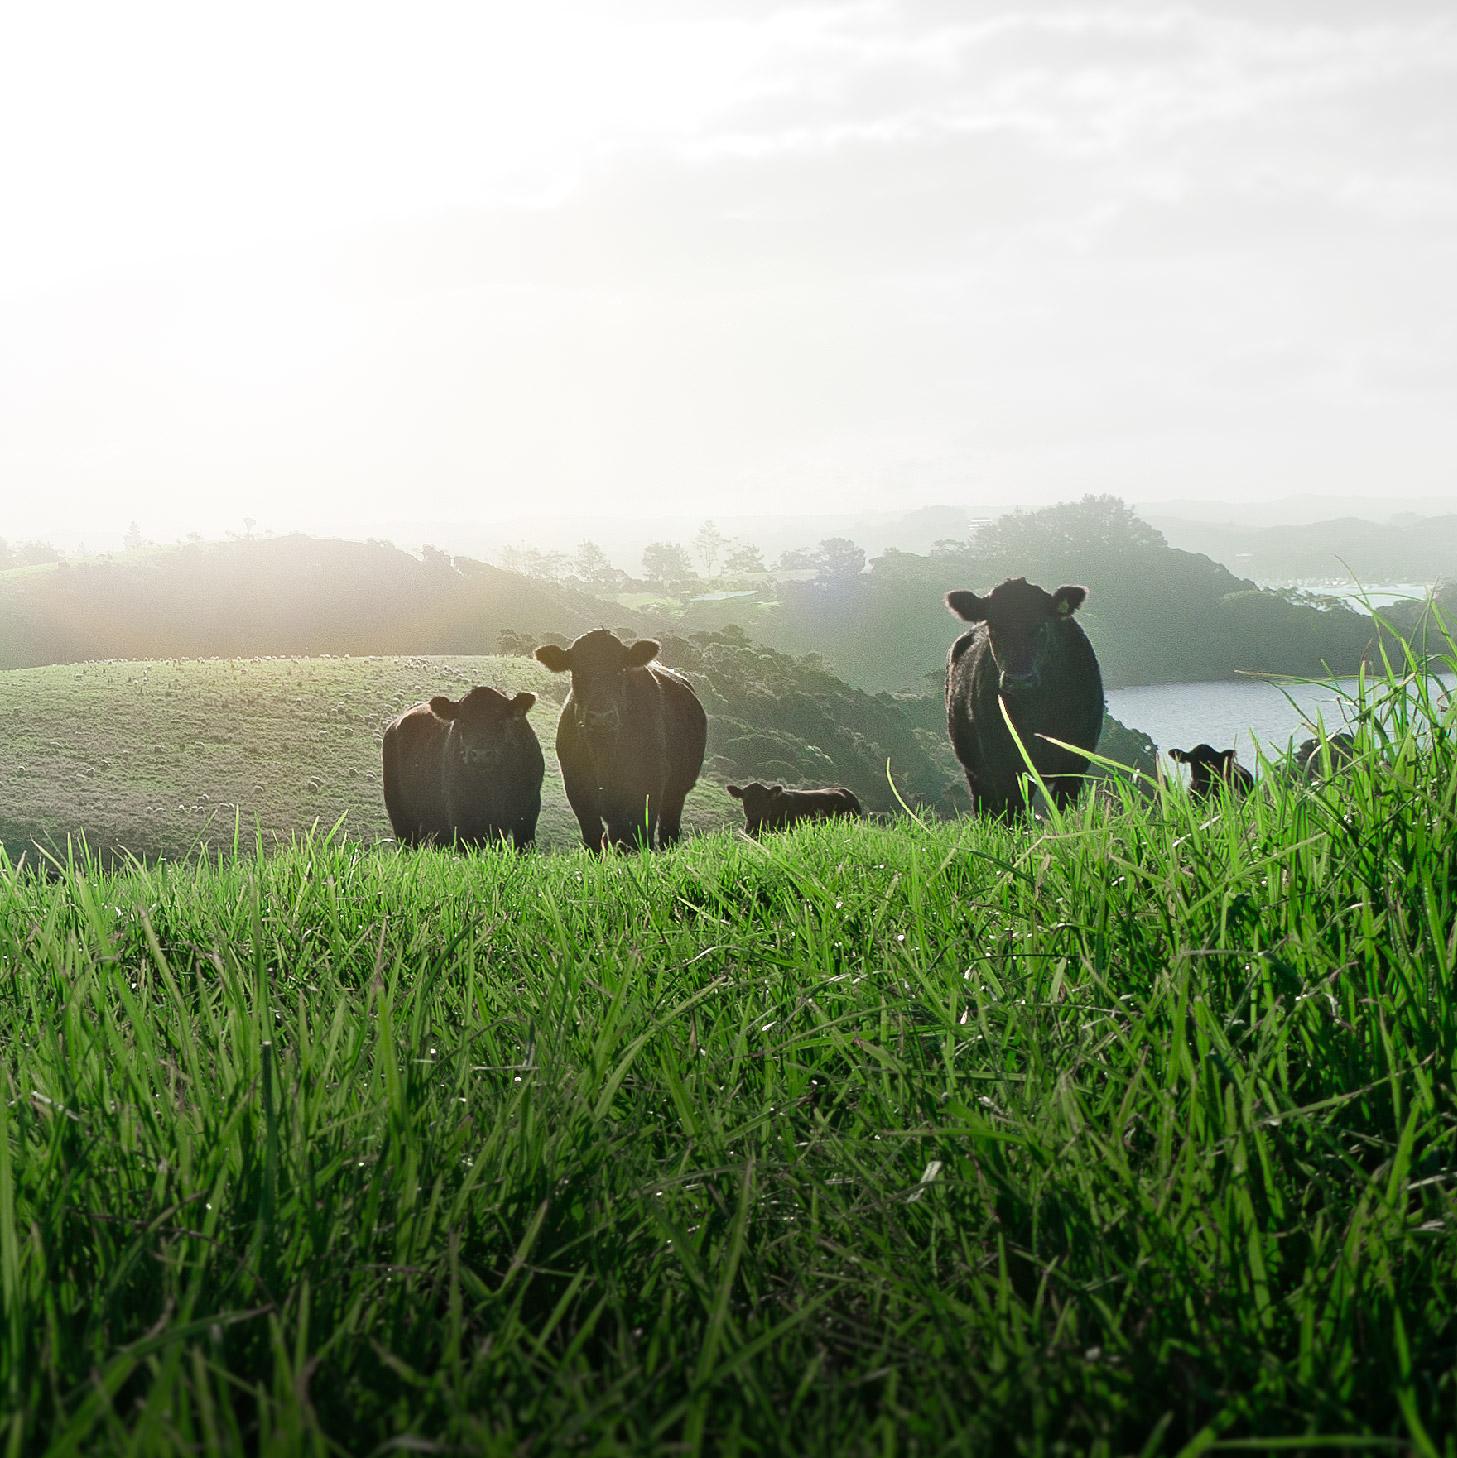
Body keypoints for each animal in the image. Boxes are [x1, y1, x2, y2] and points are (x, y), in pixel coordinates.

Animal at [385, 685, 545, 851]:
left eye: (500, 721)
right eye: (463, 722)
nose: (481, 754)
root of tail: (394, 726)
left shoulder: (527, 814)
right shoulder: (461, 816)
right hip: (401, 818)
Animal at [533, 629, 708, 851]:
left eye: (619, 671)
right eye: (578, 672)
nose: (601, 717)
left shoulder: (649, 789)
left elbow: (642, 837)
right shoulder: (578, 792)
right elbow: (595, 841)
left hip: (676, 793)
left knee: (668, 833)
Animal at [945, 571, 1102, 822]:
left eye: (1041, 626)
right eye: (994, 628)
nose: (1019, 679)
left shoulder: (1076, 760)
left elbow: (1063, 808)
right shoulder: (1005, 765)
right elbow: (1014, 812)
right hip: (974, 767)